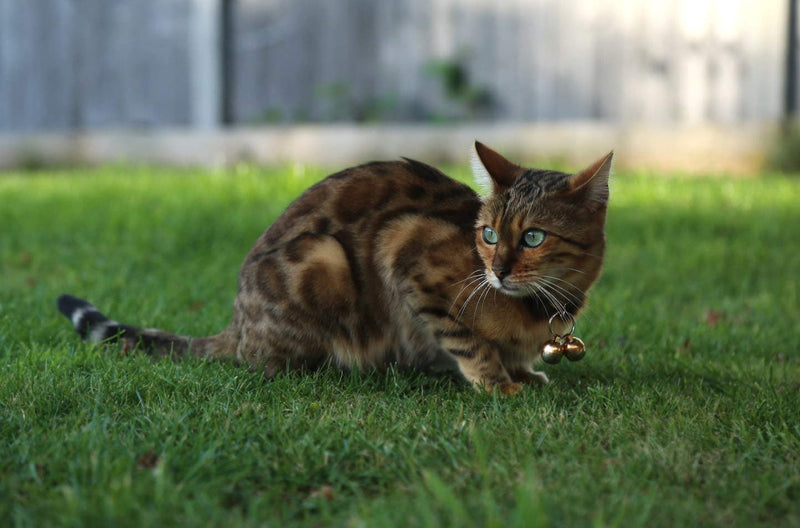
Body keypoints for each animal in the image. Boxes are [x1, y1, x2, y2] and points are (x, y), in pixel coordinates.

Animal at [57, 142, 612, 394]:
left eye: (534, 237)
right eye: (489, 234)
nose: (496, 271)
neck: (540, 308)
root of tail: (236, 325)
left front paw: (524, 372)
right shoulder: (406, 252)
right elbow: (468, 341)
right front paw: (499, 383)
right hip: (325, 261)